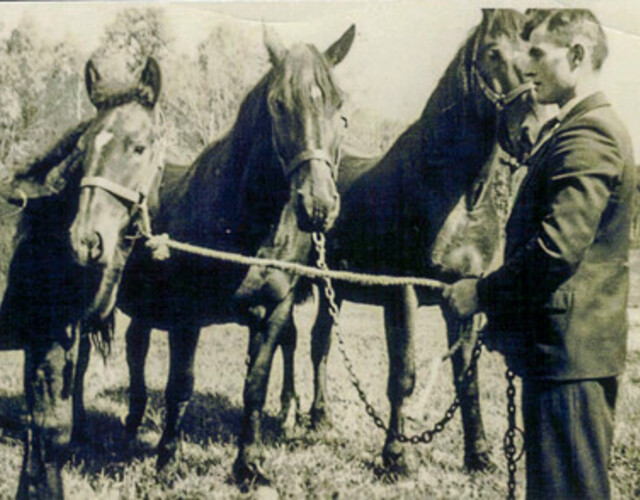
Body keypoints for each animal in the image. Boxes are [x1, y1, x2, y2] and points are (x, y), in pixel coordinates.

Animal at [0, 57, 162, 496]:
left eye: (139, 147)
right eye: (83, 149)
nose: (88, 240)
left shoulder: (57, 339)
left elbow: (41, 427)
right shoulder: (47, 338)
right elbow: (51, 428)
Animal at [117, 24, 358, 476]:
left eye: (340, 106)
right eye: (279, 103)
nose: (318, 206)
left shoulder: (272, 313)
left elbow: (254, 388)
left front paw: (248, 465)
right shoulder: (186, 315)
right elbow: (180, 385)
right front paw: (167, 460)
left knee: (135, 346)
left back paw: (133, 419)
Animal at [284, 8, 544, 476]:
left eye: (534, 54)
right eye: (492, 52)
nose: (530, 132)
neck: (452, 191)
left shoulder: (462, 293)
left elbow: (465, 377)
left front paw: (479, 455)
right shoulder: (402, 292)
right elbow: (402, 376)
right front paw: (396, 456)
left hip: (336, 291)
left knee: (320, 343)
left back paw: (320, 416)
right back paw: (289, 414)